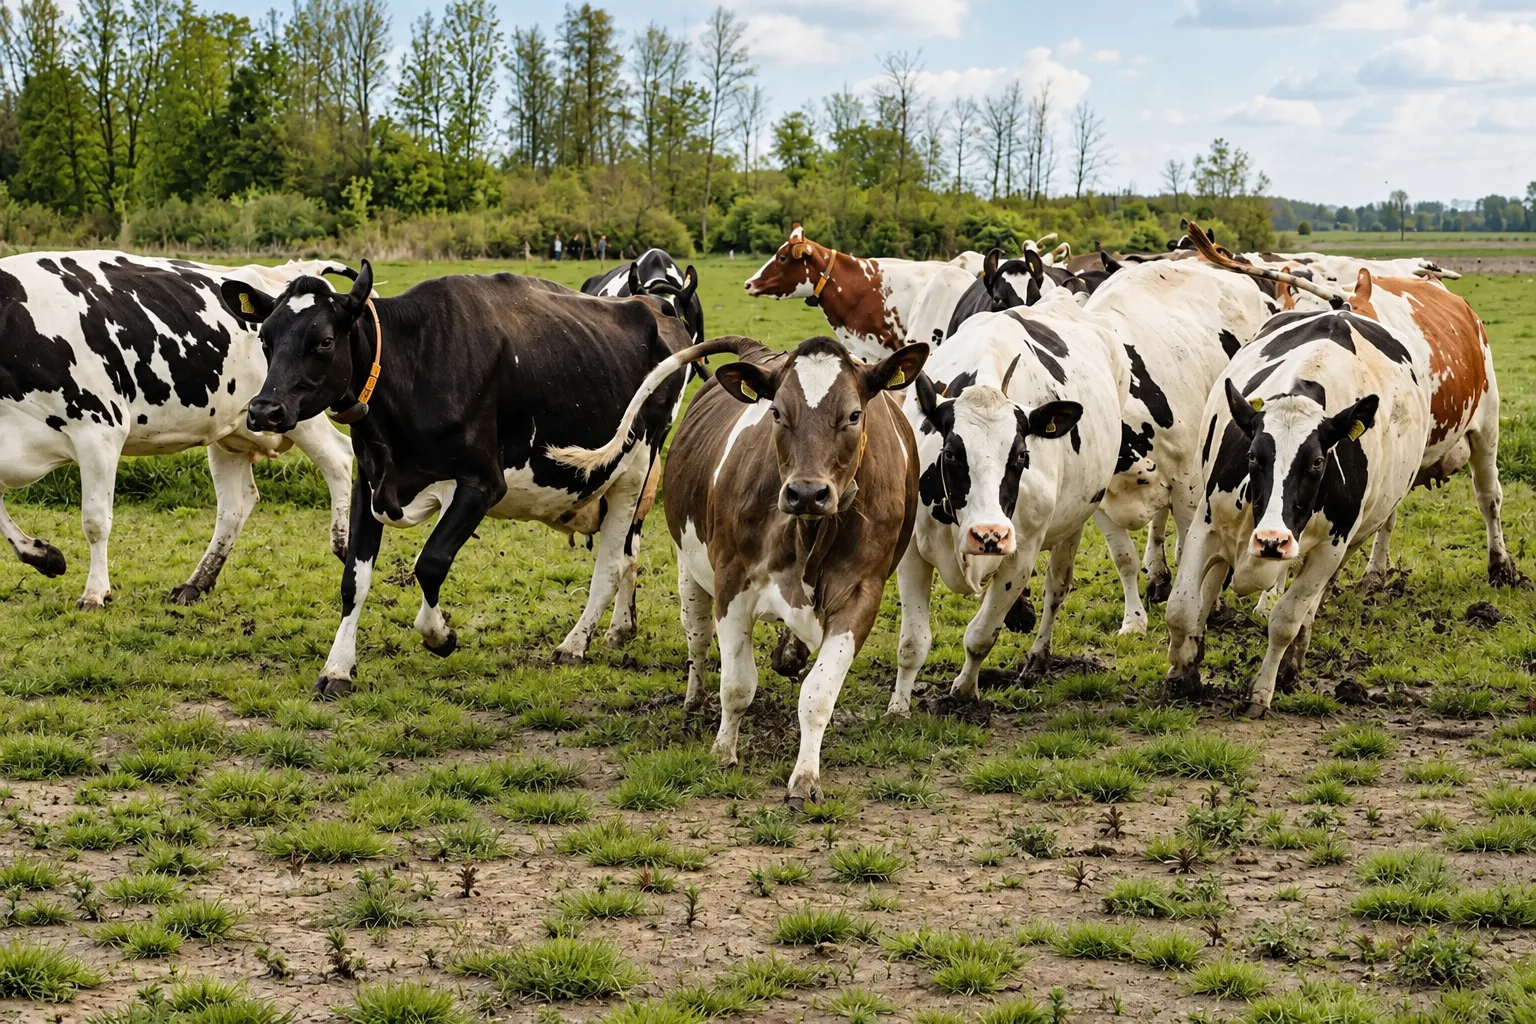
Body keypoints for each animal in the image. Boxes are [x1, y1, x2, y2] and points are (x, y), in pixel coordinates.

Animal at [0, 251, 355, 609]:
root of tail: (286, 273)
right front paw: (45, 556)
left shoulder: (99, 428)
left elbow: (95, 521)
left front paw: (95, 593)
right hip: (232, 431)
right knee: (236, 505)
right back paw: (195, 583)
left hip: (297, 412)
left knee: (338, 458)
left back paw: (343, 547)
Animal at [220, 260, 700, 695]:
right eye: (265, 338)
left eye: (323, 340)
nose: (264, 409)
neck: (412, 365)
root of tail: (654, 304)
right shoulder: (369, 482)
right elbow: (353, 580)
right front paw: (337, 668)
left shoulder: (482, 484)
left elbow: (430, 563)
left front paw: (440, 636)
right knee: (628, 554)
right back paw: (620, 630)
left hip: (635, 468)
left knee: (613, 562)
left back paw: (574, 645)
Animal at [552, 334, 929, 806]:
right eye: (778, 413)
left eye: (854, 415)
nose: (808, 492)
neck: (809, 532)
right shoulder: (731, 584)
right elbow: (736, 685)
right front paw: (723, 751)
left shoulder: (861, 594)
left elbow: (818, 694)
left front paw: (805, 778)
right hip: (689, 570)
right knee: (696, 642)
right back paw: (693, 701)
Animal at [889, 300, 1127, 712]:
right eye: (950, 453)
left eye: (1021, 455)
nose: (989, 535)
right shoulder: (912, 552)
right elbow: (912, 643)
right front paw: (898, 708)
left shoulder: (1021, 553)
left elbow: (981, 635)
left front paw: (964, 692)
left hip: (1076, 518)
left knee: (1057, 587)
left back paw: (1037, 657)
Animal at [1164, 307, 1430, 715]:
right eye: (1253, 456)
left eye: (1318, 462)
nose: (1272, 541)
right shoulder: (1206, 525)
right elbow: (1181, 606)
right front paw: (1182, 672)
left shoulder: (1330, 550)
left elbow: (1286, 620)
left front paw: (1262, 691)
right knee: (1207, 590)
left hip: (1348, 544)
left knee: (1307, 607)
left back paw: (1292, 662)